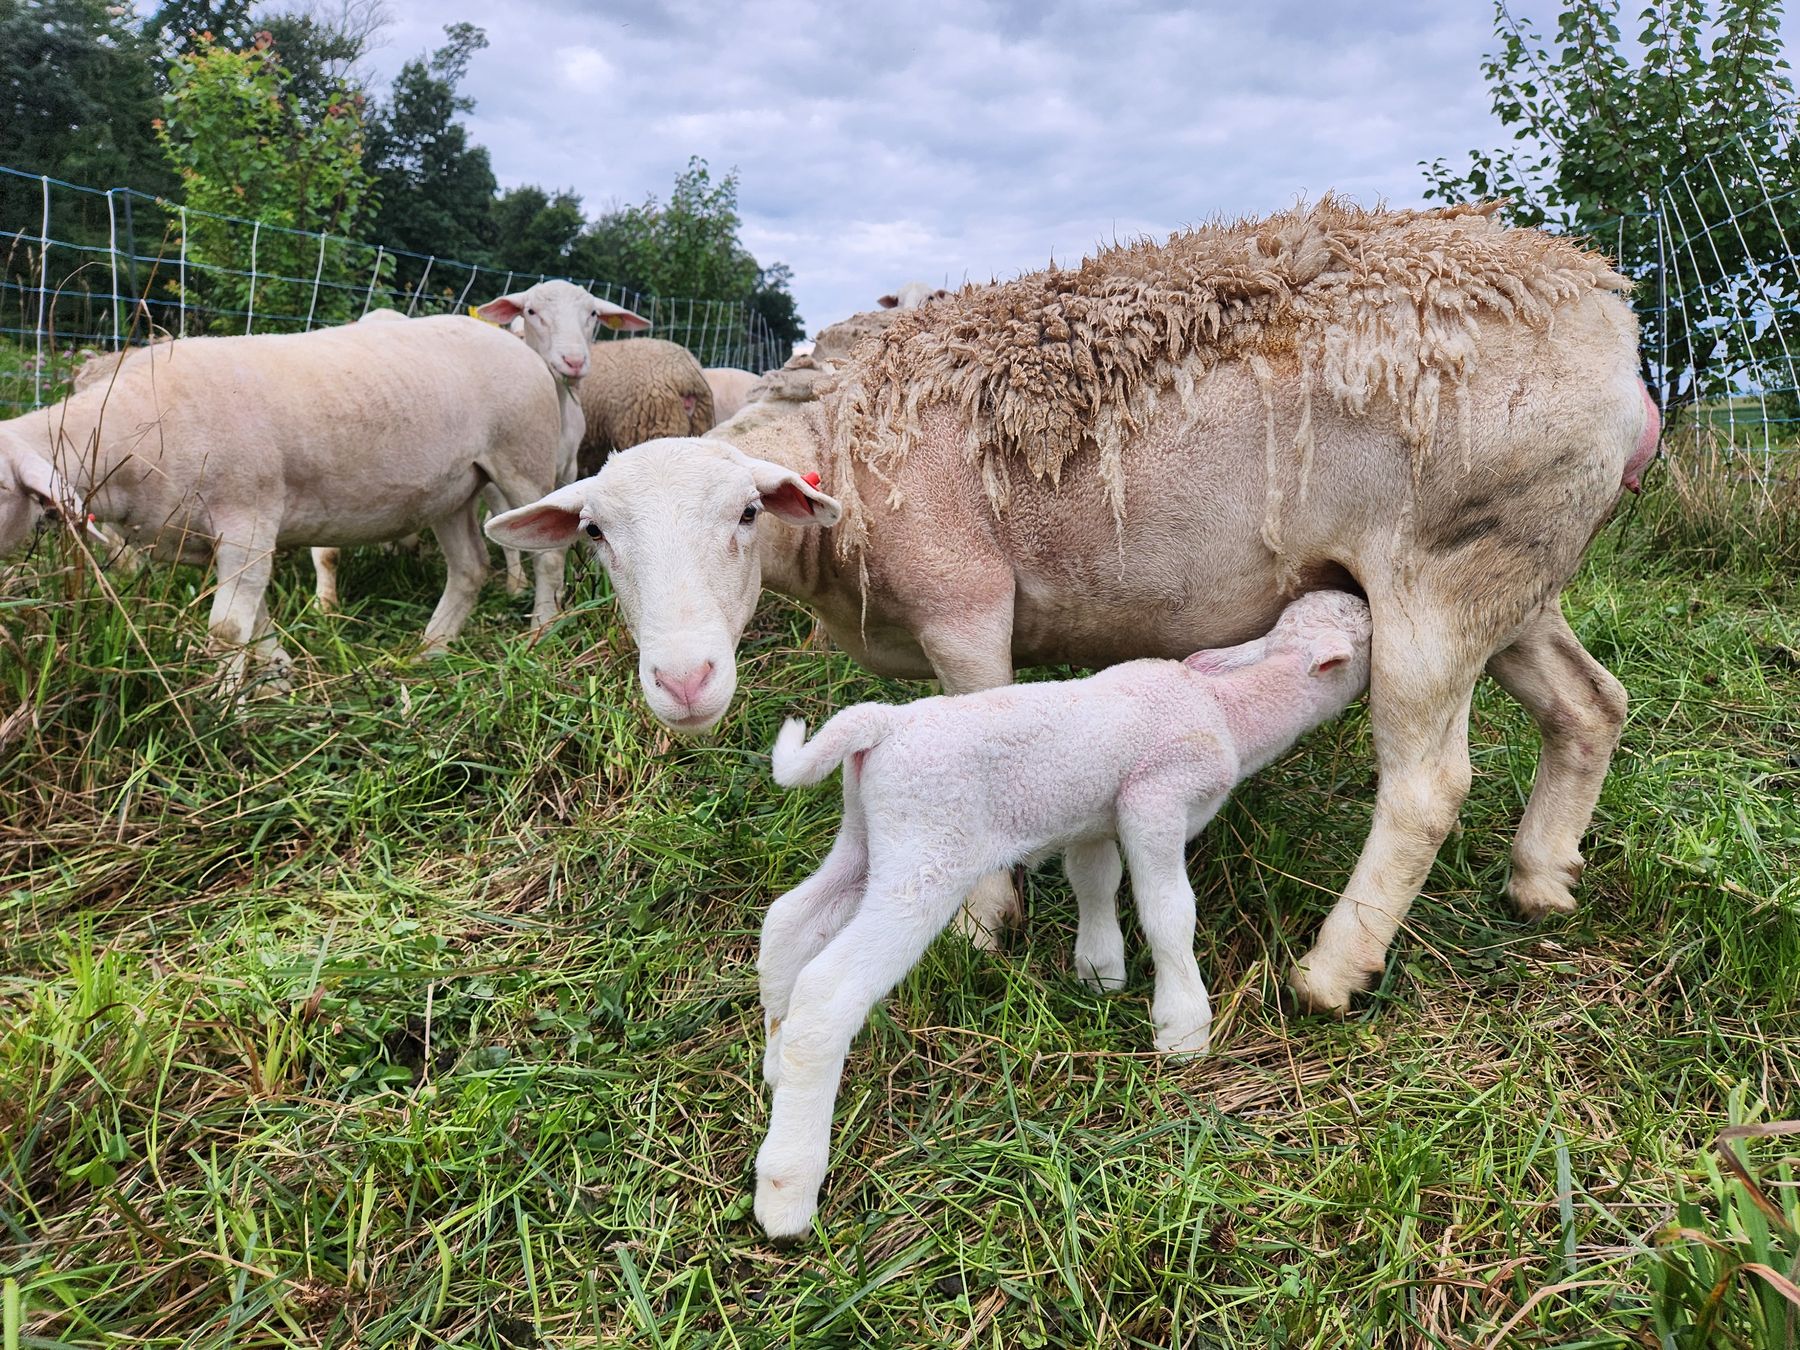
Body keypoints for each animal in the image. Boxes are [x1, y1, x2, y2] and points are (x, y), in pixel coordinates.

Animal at [0, 281, 637, 689]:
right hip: (453, 489)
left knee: (546, 558)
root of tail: (519, 348)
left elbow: (227, 631)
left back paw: (540, 630)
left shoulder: (248, 519)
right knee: (469, 568)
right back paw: (429, 650)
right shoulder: (221, 541)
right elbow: (255, 622)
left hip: (520, 463)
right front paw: (278, 674)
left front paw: (221, 711)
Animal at [751, 590, 1373, 1237]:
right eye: (1369, 636)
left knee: (788, 923)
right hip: (926, 853)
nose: (1359, 598)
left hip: (868, 837)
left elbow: (1094, 879)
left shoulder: (1096, 816)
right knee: (828, 991)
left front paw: (1100, 973)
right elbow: (1168, 910)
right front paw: (1184, 1028)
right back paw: (787, 1188)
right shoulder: (1155, 797)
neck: (1225, 709)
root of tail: (884, 725)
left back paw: (774, 1063)